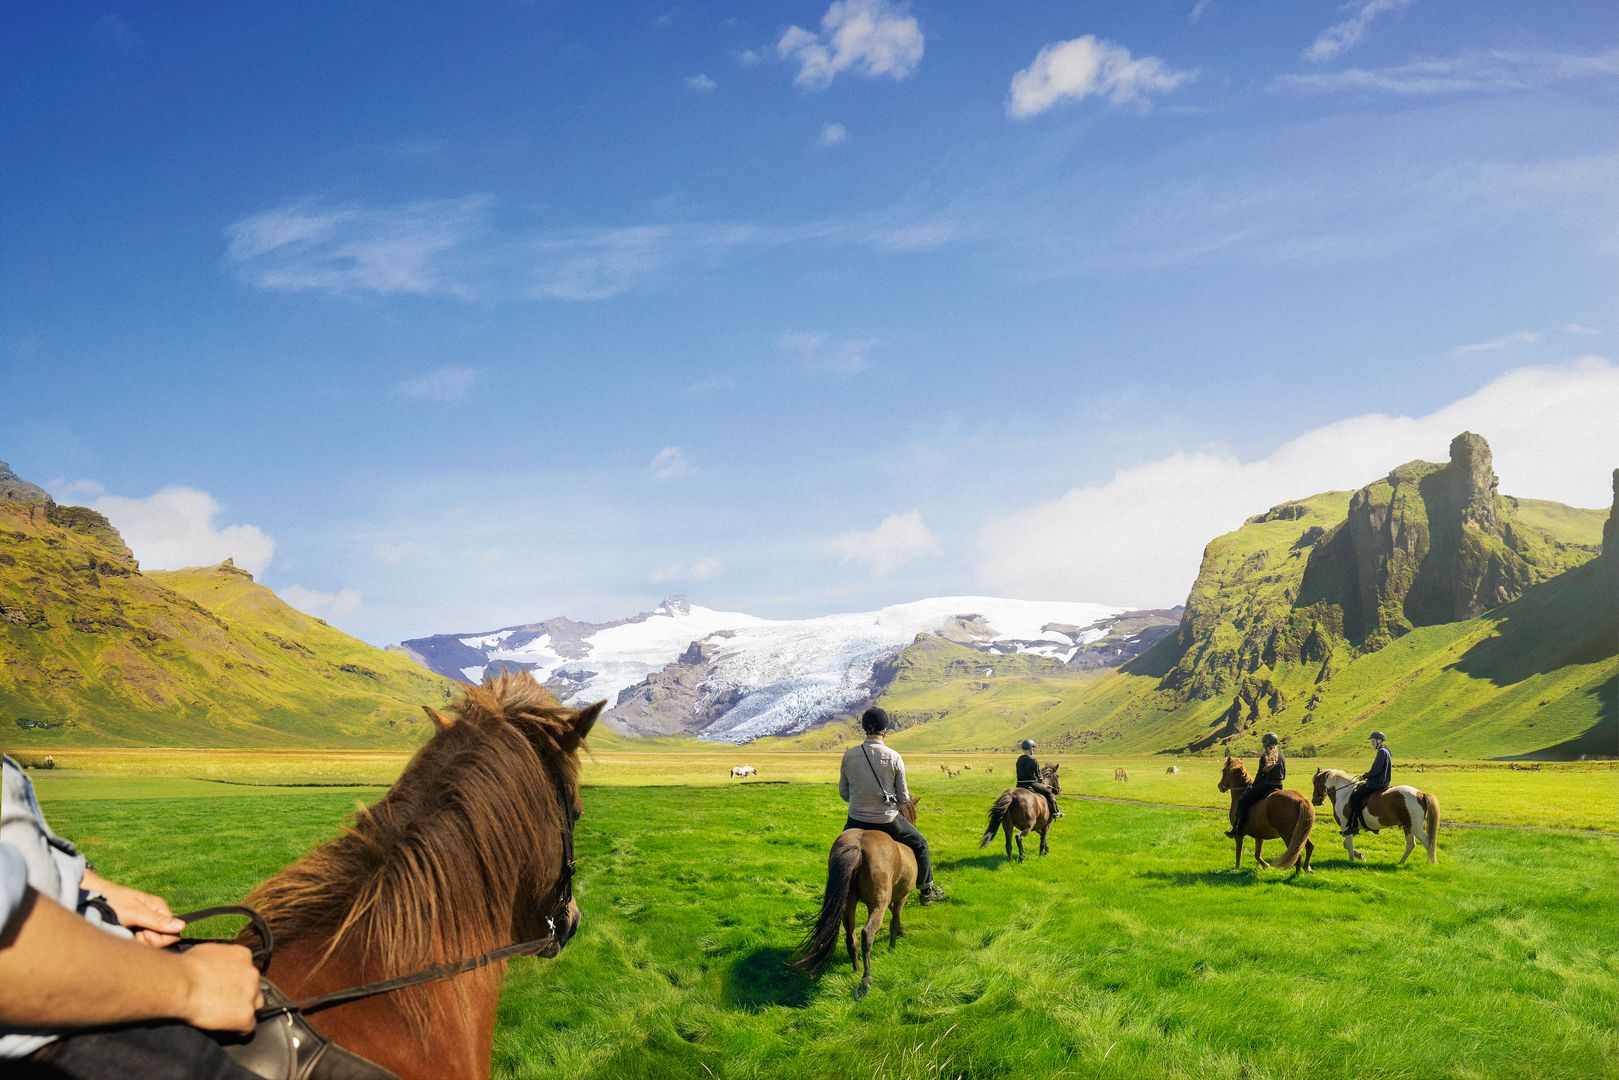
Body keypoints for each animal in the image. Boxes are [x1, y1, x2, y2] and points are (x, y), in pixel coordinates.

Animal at [793, 793, 926, 997]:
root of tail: (858, 846)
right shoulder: (901, 896)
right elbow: (895, 920)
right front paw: (893, 946)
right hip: (876, 904)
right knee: (867, 933)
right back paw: (866, 979)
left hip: (847, 904)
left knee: (850, 936)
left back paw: (855, 968)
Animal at [1217, 751, 1308, 880]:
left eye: (1224, 770)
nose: (1220, 786)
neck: (1240, 793)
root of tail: (1301, 800)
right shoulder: (1259, 835)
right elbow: (1257, 854)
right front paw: (1266, 866)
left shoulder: (1239, 834)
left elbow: (1238, 852)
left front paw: (1236, 868)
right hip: (1301, 833)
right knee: (1309, 848)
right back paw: (1306, 869)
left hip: (1289, 835)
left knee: (1296, 855)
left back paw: (1297, 874)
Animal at [1314, 764, 1444, 867]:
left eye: (1315, 782)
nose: (1315, 801)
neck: (1343, 793)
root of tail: (1420, 794)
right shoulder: (1353, 828)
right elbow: (1346, 844)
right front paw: (1360, 856)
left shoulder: (1346, 826)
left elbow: (1349, 845)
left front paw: (1351, 861)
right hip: (1408, 826)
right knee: (1411, 844)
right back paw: (1400, 862)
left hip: (1415, 827)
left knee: (1427, 842)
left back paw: (1431, 863)